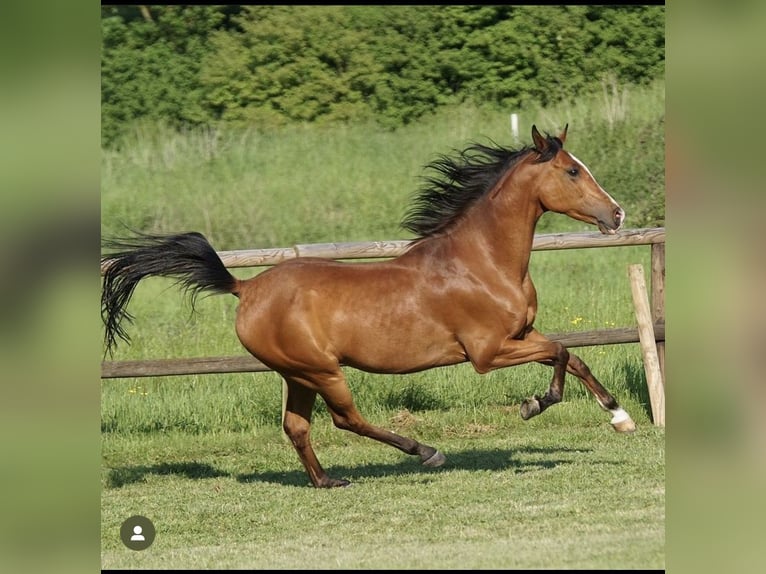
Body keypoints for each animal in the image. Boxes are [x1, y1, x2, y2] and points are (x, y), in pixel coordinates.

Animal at [101, 124, 636, 488]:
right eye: (572, 170)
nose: (617, 214)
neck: (481, 262)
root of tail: (245, 289)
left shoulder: (522, 336)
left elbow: (574, 356)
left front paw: (619, 416)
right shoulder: (488, 352)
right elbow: (562, 352)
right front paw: (533, 405)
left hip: (297, 374)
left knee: (296, 426)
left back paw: (327, 481)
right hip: (321, 370)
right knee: (345, 419)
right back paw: (425, 451)